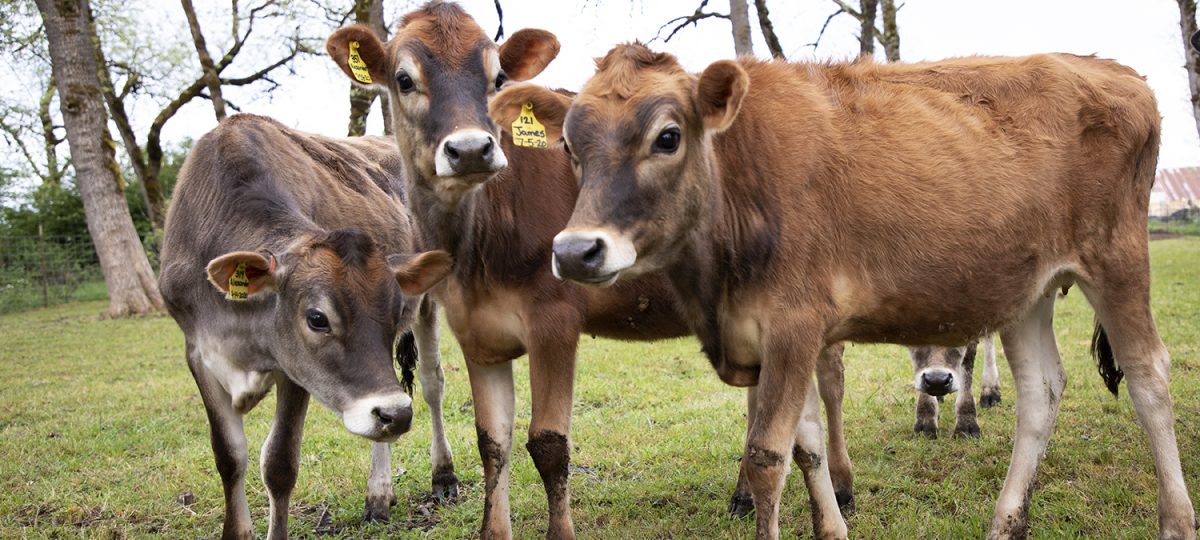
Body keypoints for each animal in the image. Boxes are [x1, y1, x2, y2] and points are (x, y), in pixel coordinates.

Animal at [159, 115, 453, 540]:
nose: (396, 414)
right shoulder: (198, 352)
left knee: (432, 384)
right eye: (317, 318)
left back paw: (442, 476)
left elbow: (279, 464)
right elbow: (228, 455)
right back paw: (379, 496)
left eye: (397, 311)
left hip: (428, 306)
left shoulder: (293, 369)